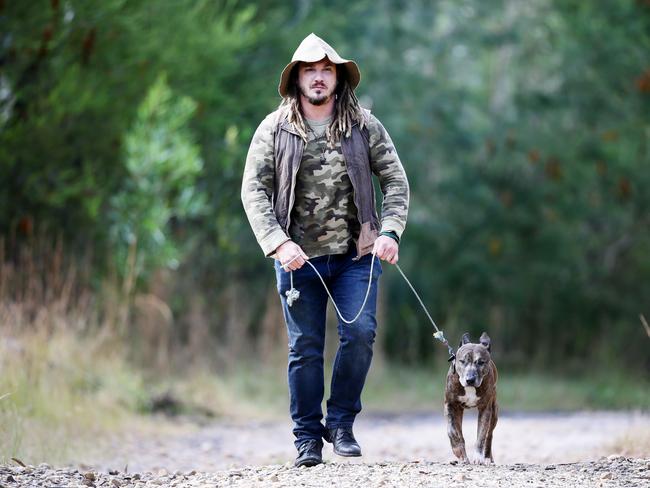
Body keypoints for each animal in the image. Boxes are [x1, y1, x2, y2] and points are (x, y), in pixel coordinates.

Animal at [442, 332, 498, 466]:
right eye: (462, 361)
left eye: (481, 362)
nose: (470, 379)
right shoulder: (450, 405)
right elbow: (452, 431)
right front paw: (459, 452)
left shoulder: (485, 409)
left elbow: (482, 435)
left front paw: (478, 457)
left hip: (494, 412)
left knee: (489, 435)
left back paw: (487, 458)